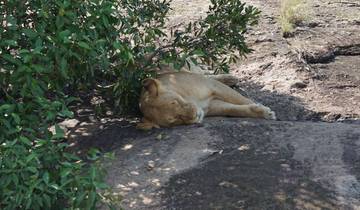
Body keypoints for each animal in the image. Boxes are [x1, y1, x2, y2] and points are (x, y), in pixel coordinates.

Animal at [137, 71, 276, 129]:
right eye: (175, 120)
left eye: (175, 102)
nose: (194, 115)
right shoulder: (211, 106)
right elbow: (235, 110)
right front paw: (262, 112)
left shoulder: (212, 86)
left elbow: (241, 99)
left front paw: (265, 110)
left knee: (205, 74)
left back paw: (229, 78)